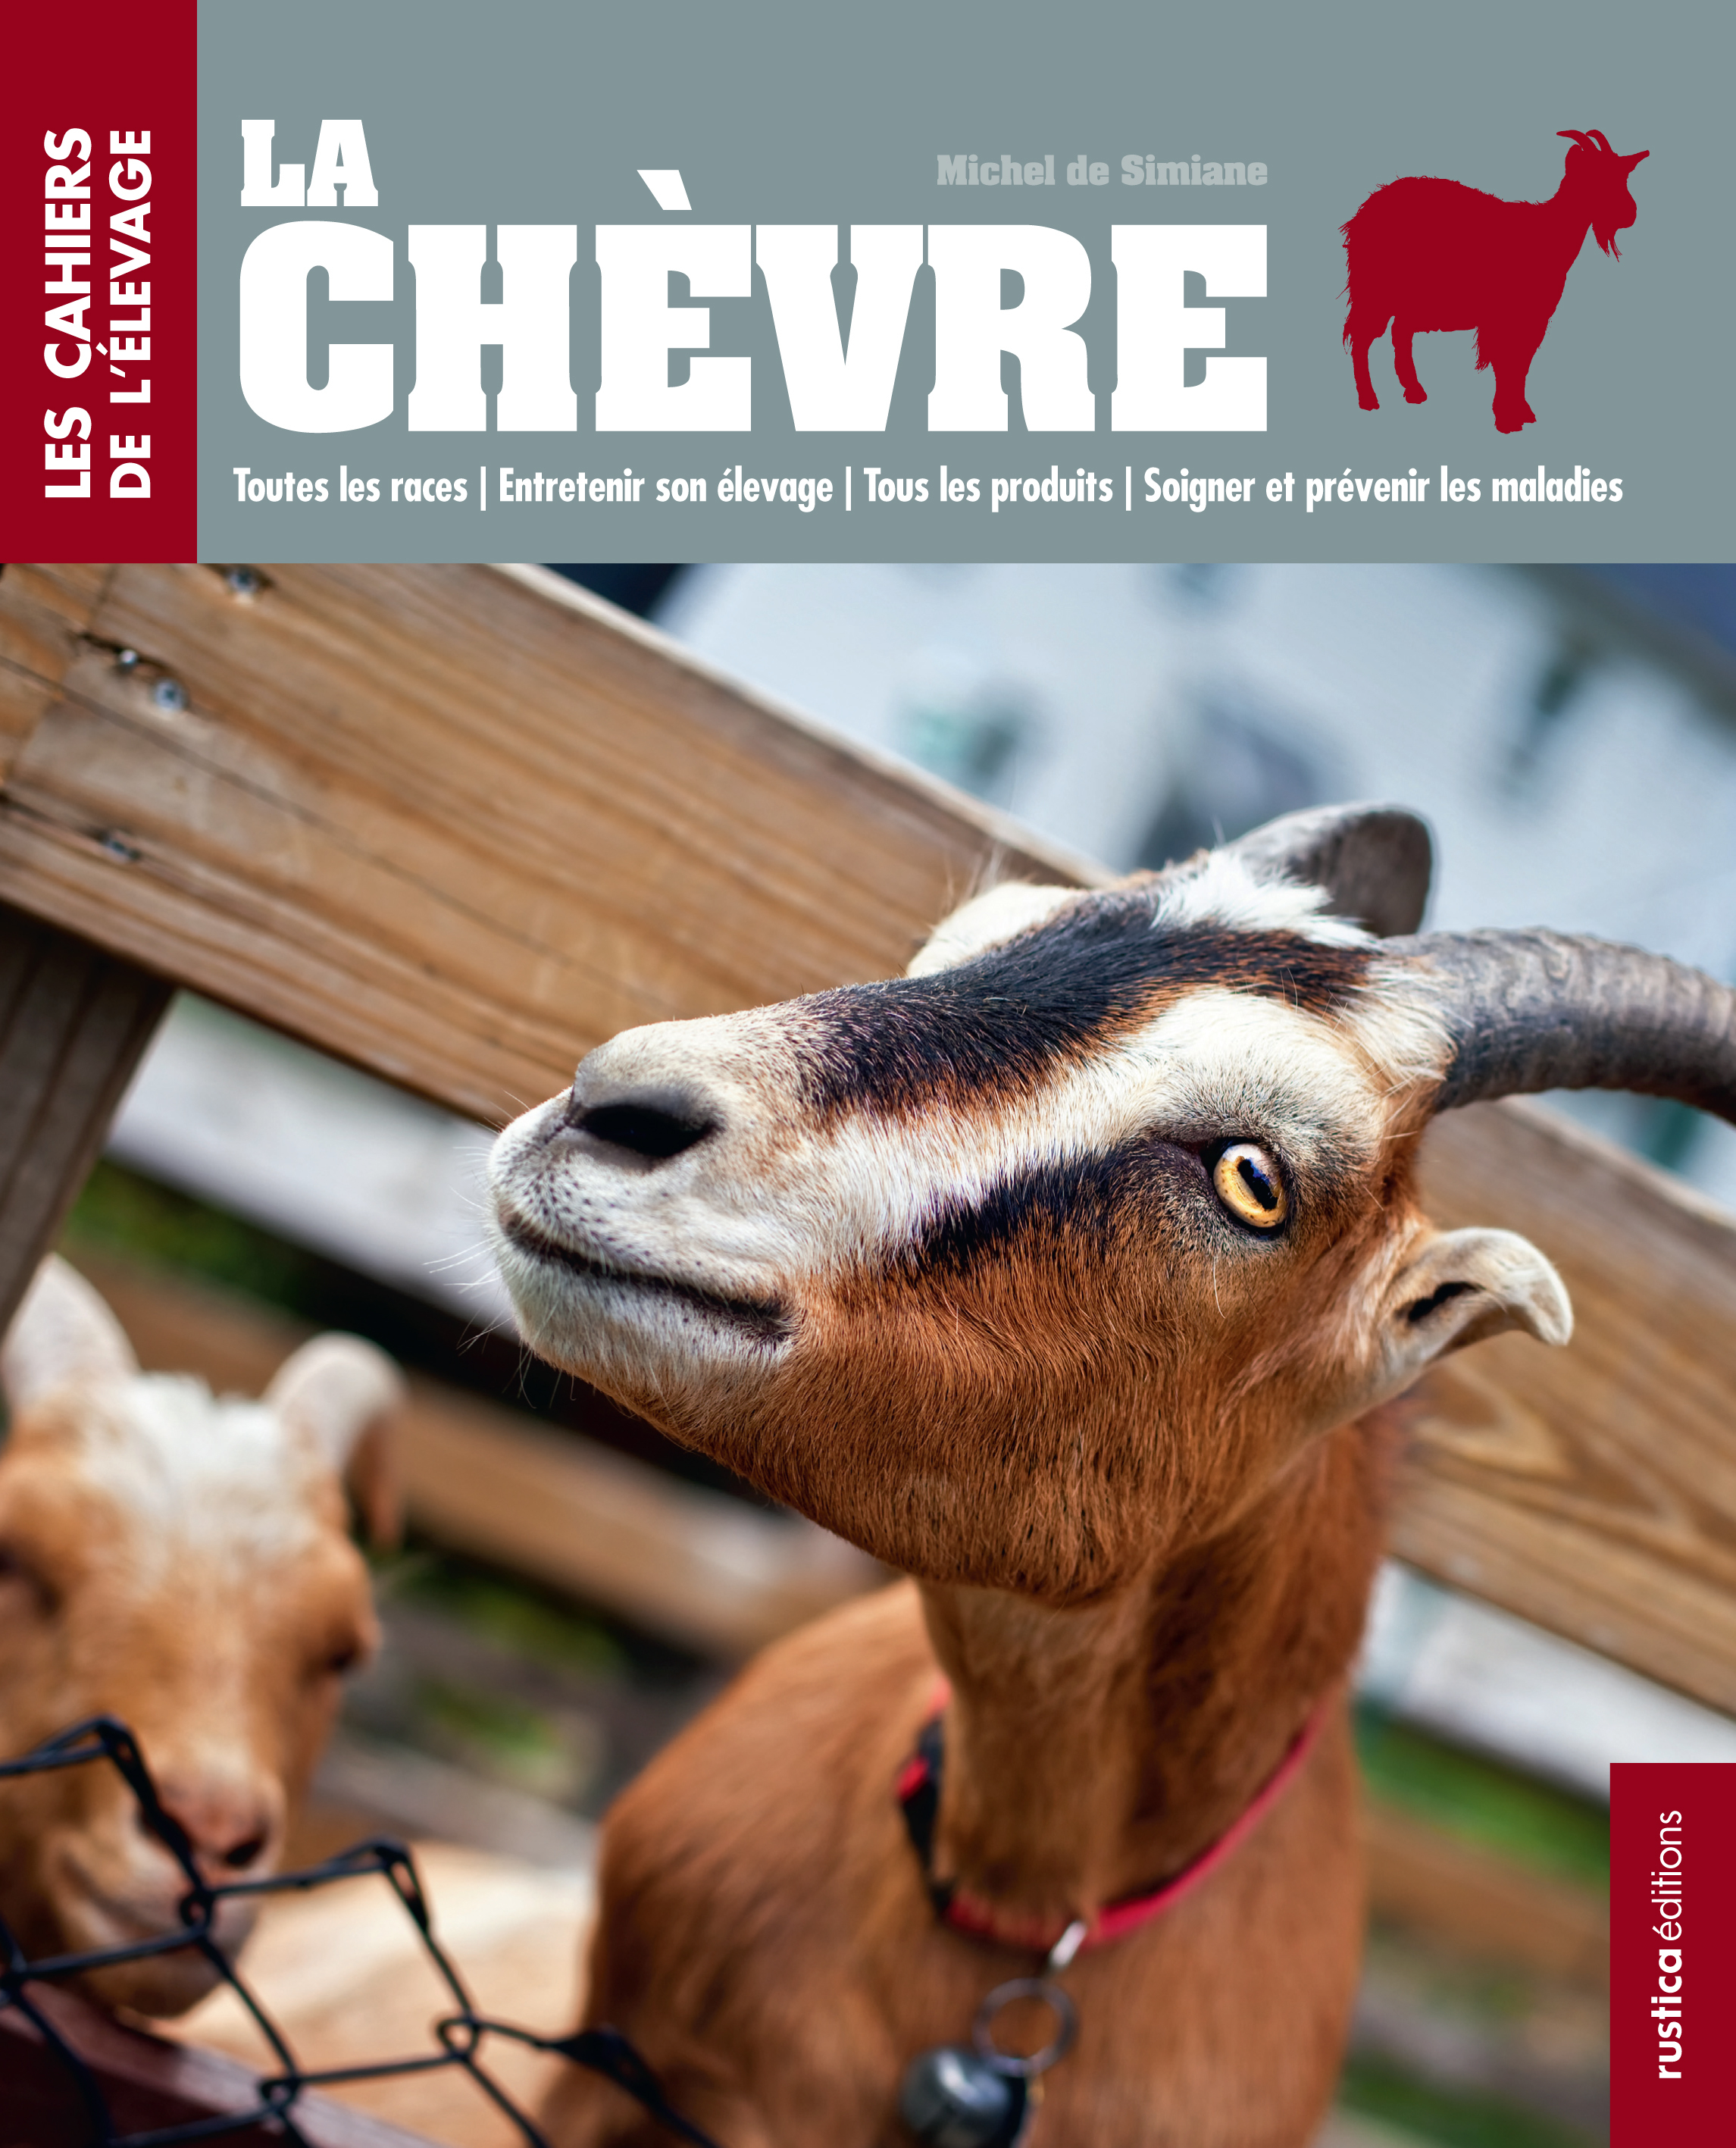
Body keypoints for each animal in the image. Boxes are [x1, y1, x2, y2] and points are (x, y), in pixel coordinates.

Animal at [1343, 130, 1648, 433]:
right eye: (1591, 176)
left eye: (1623, 176)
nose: (1628, 215)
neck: (1545, 234)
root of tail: (1365, 209)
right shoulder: (1502, 315)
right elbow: (1505, 363)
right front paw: (1506, 419)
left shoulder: (1535, 318)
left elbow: (1521, 364)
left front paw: (1523, 412)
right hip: (1375, 288)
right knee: (1362, 337)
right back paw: (1368, 400)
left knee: (1400, 333)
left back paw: (1415, 392)